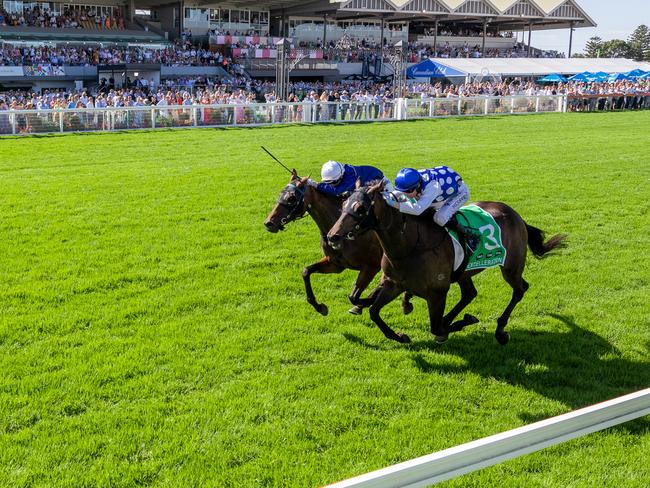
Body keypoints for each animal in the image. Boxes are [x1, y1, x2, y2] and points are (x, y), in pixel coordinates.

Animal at [262, 175, 410, 316]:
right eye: (280, 193)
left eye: (292, 198)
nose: (269, 223)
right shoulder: (335, 264)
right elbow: (306, 271)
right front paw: (320, 307)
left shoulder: (371, 266)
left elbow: (354, 297)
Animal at [326, 181, 564, 346]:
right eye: (343, 203)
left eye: (360, 208)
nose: (333, 236)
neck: (409, 245)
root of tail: (515, 215)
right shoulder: (394, 283)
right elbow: (375, 312)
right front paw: (401, 335)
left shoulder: (437, 292)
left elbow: (434, 326)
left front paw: (458, 323)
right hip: (465, 272)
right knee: (470, 293)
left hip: (511, 267)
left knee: (520, 289)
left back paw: (500, 331)